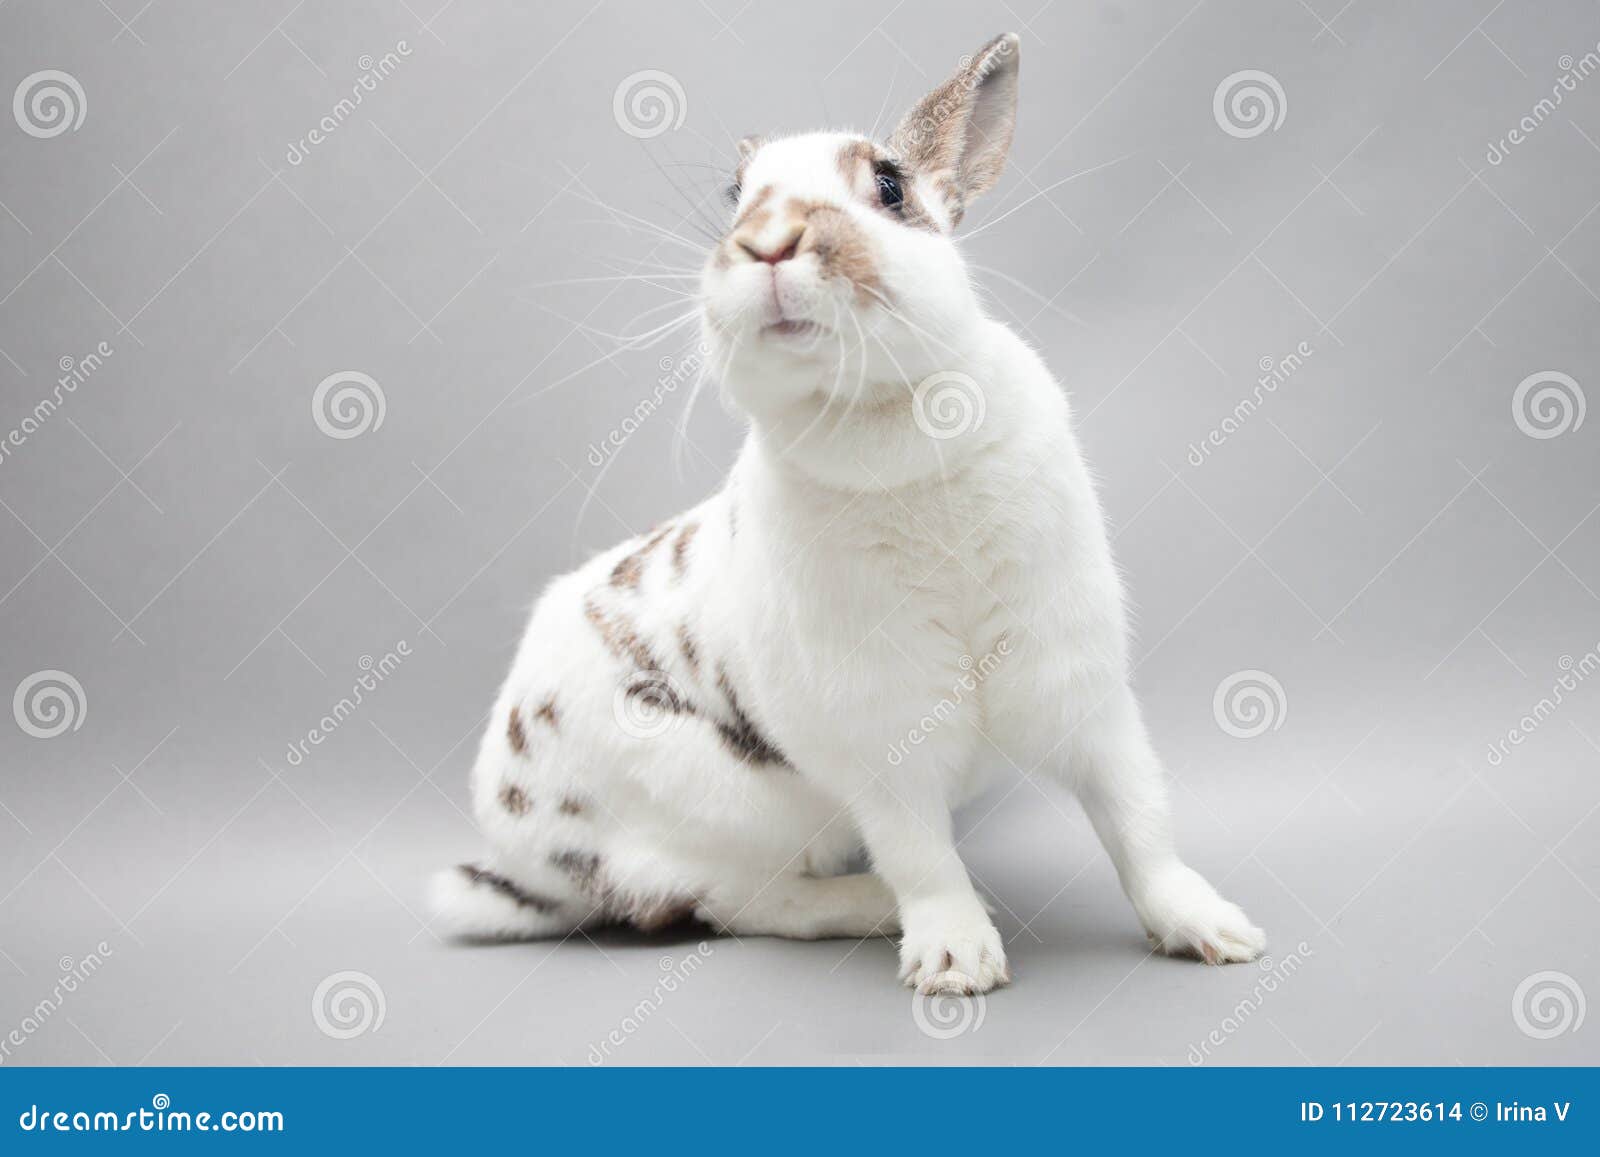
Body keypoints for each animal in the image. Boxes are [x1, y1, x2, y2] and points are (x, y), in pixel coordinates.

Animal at [428, 32, 1265, 995]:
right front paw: (956, 961)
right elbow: (920, 853)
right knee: (738, 901)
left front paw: (1217, 930)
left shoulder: (1082, 687)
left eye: (891, 187)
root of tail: (522, 858)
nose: (765, 242)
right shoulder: (880, 738)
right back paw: (869, 906)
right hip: (728, 807)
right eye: (733, 199)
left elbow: (1138, 821)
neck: (881, 417)